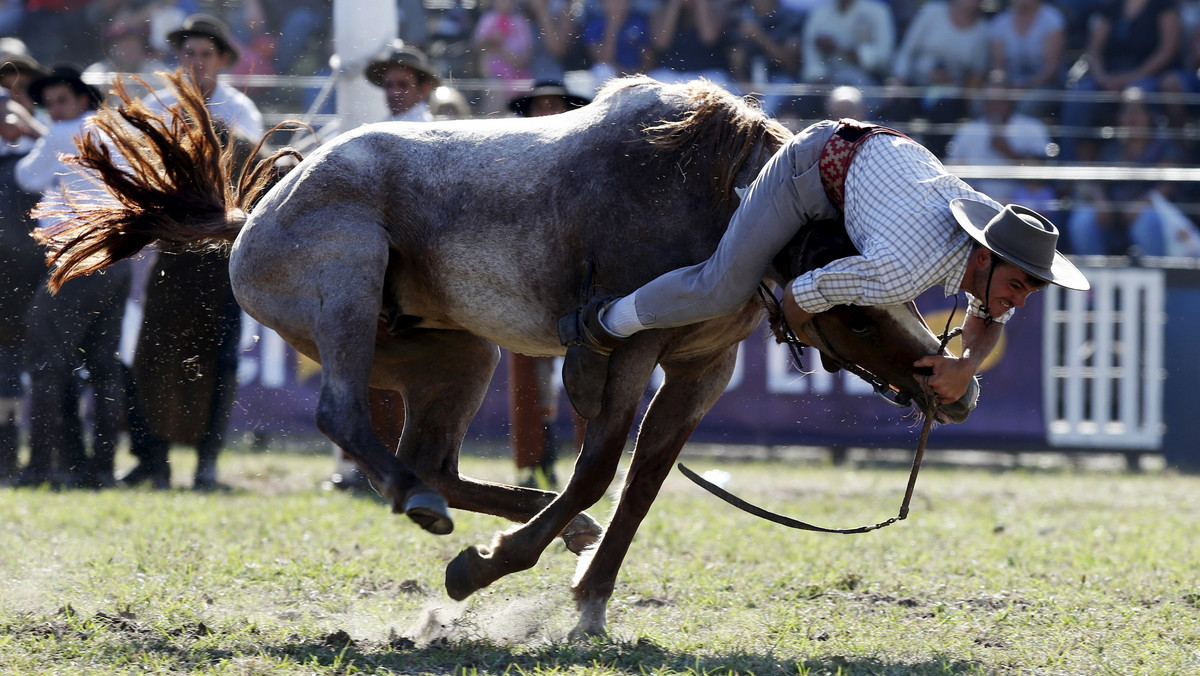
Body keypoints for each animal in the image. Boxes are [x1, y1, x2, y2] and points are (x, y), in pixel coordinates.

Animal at [37, 74, 974, 638]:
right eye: (856, 315)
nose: (951, 392)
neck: (716, 200)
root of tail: (253, 215)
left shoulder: (701, 371)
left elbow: (640, 485)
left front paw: (589, 598)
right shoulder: (624, 353)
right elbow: (598, 469)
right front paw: (488, 571)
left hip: (456, 356)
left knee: (434, 461)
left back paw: (464, 507)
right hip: (345, 287)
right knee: (345, 416)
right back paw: (432, 512)